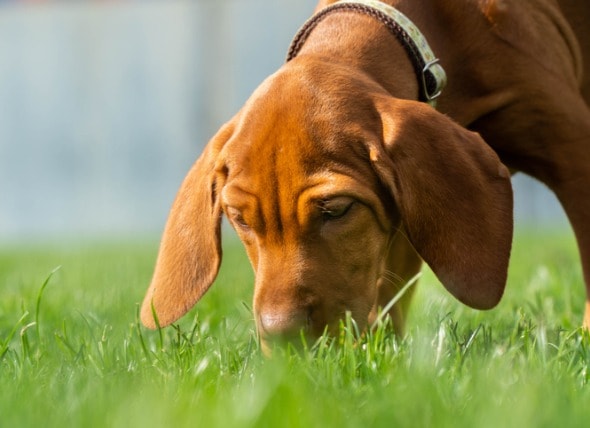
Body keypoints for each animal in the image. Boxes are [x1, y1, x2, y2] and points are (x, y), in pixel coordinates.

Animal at [140, 0, 590, 352]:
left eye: (336, 210)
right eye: (239, 219)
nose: (283, 338)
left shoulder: (573, 150)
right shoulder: (406, 205)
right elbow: (389, 289)